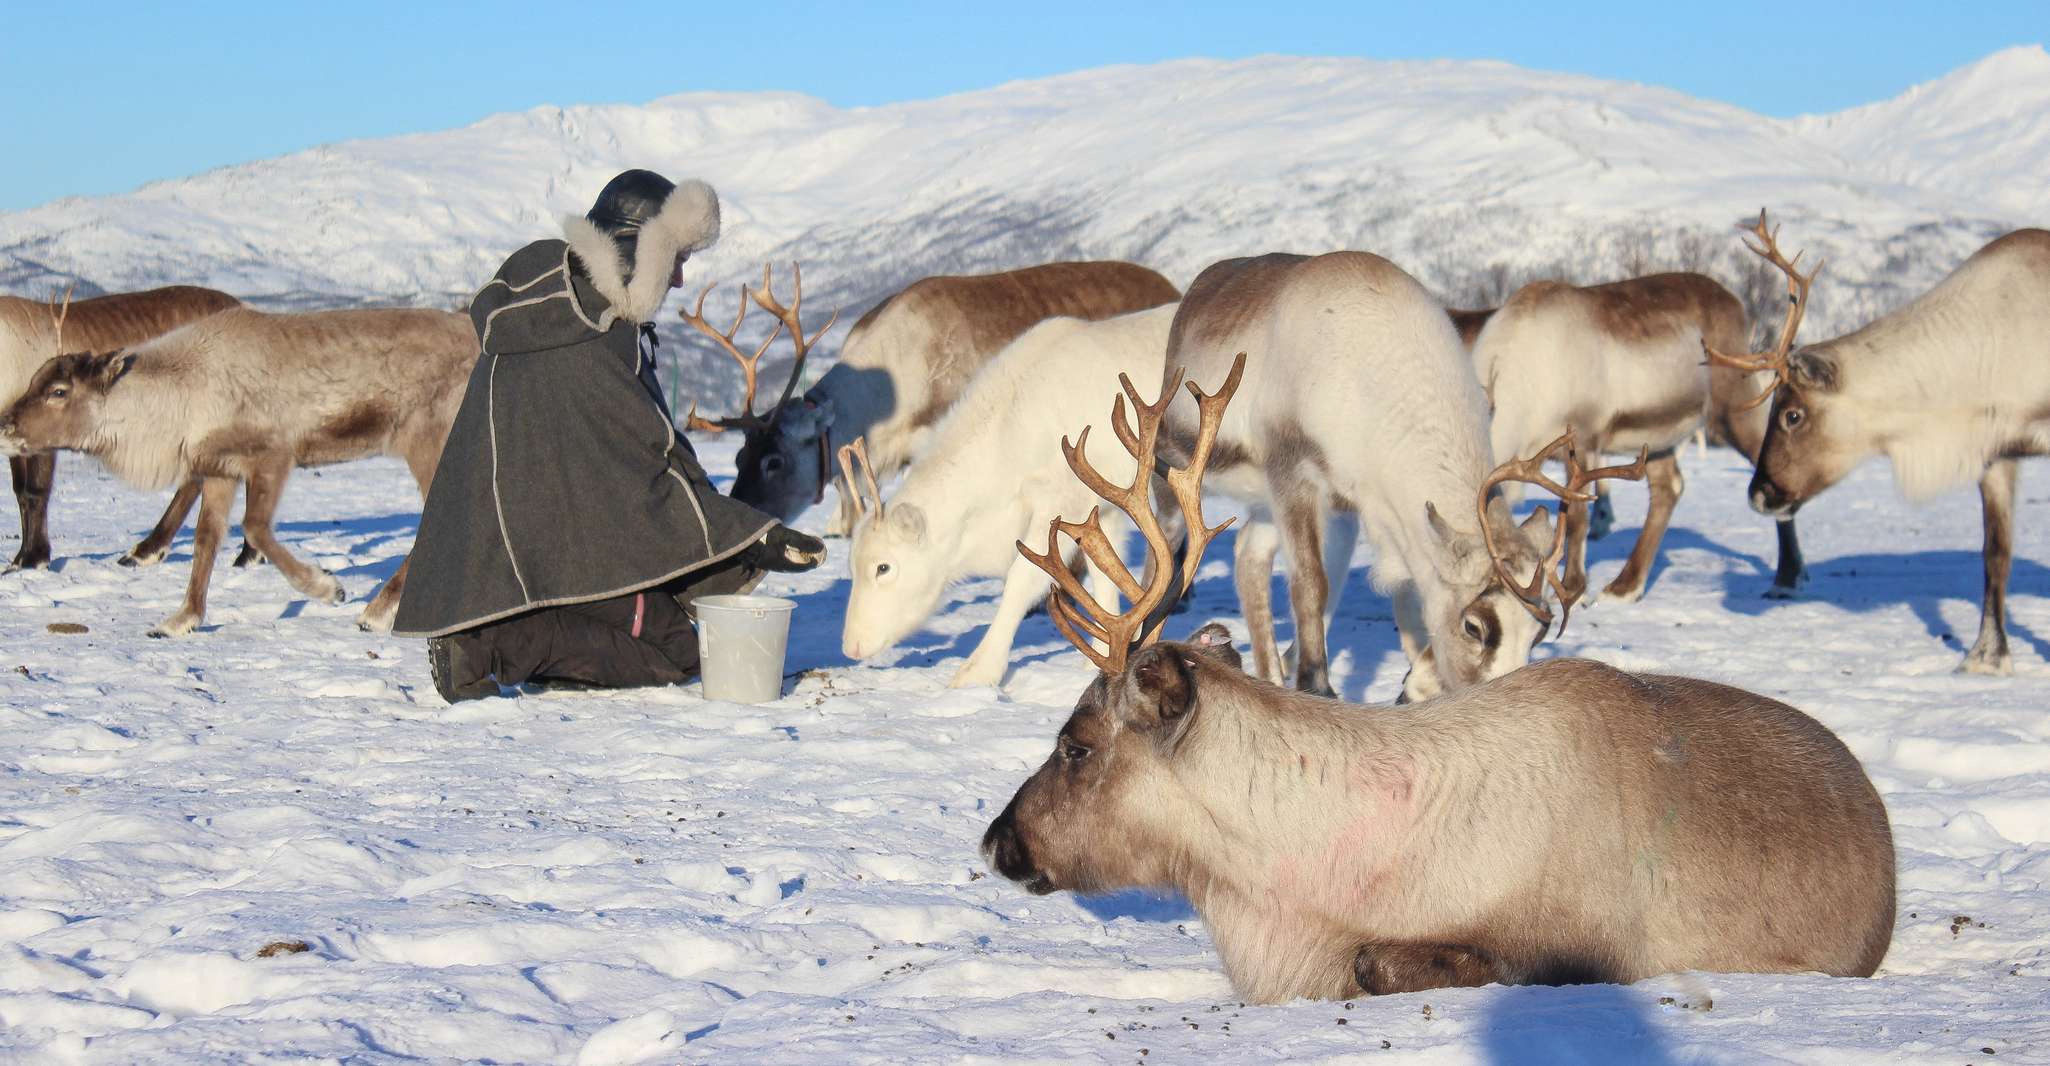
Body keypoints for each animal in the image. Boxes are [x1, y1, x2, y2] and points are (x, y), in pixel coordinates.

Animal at [837, 304, 1178, 687]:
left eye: (883, 567)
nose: (851, 646)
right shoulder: (1104, 510)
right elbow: (1104, 578)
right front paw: (1096, 662)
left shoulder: (1061, 503)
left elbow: (1022, 579)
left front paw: (979, 669)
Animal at [1158, 252, 1644, 701]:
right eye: (1474, 627)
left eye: (1539, 630)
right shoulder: (1292, 475)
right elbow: (1311, 584)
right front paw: (1318, 686)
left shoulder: (1384, 512)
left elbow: (1410, 605)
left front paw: (1416, 682)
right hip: (1177, 470)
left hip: (1276, 505)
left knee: (1248, 557)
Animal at [1474, 267, 1808, 604]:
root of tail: (1736, 304)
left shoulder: (1583, 439)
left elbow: (1578, 519)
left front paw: (1573, 588)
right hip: (1658, 435)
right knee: (1669, 487)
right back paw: (1625, 586)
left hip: (1735, 407)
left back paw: (1786, 579)